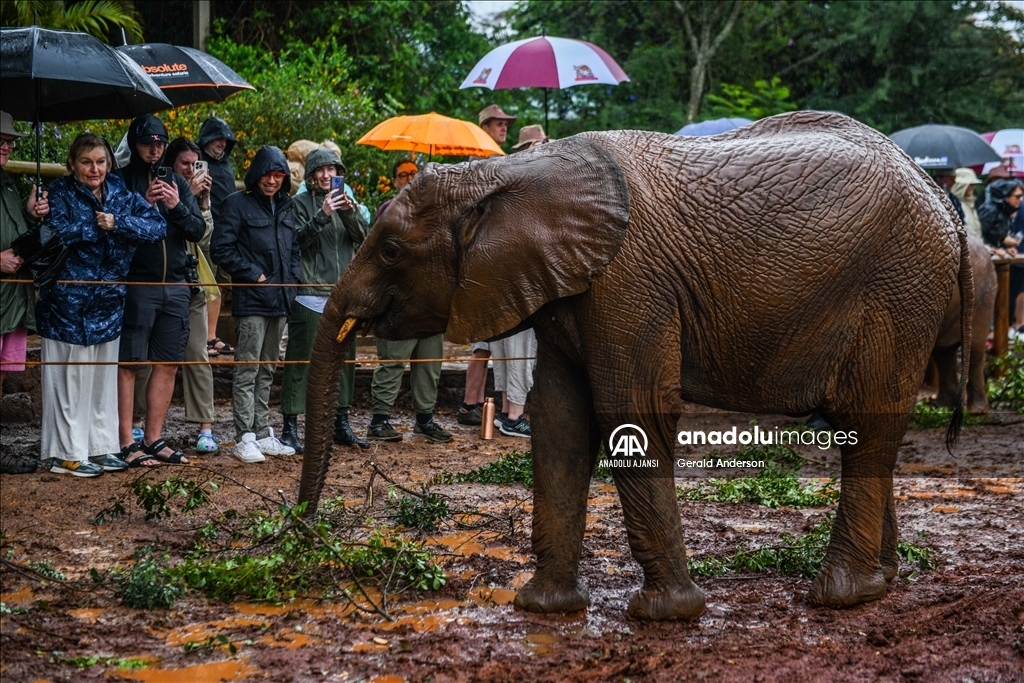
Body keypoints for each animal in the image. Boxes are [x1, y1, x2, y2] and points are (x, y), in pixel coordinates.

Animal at [294, 112, 966, 618]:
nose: (301, 532)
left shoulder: (628, 282)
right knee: (864, 429)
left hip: (899, 287)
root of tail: (941, 198)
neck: (504, 174)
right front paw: (544, 608)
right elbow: (560, 419)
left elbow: (631, 410)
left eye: (390, 250)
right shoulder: (563, 287)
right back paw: (882, 582)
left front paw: (667, 614)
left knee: (868, 423)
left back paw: (841, 596)